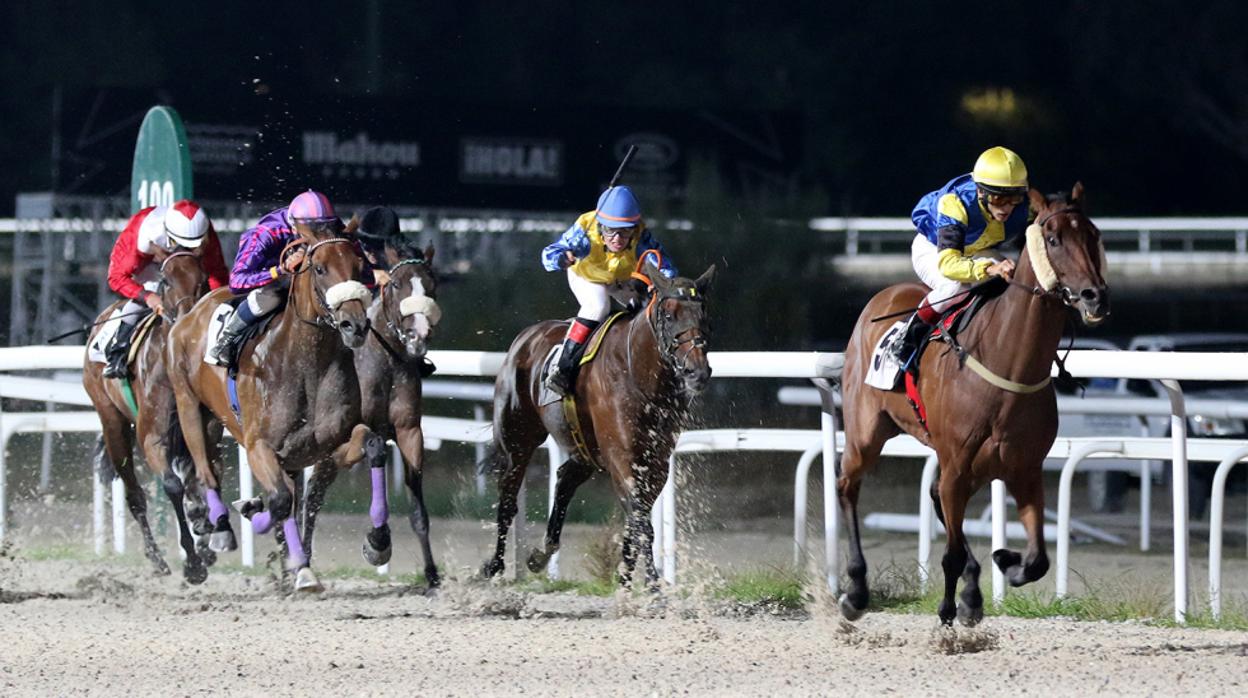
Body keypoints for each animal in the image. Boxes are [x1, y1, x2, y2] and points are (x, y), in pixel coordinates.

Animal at [82, 248, 219, 581]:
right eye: (165, 281)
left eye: (201, 279)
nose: (186, 322)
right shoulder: (153, 437)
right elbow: (172, 485)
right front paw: (192, 561)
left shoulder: (205, 432)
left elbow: (204, 477)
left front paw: (205, 539)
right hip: (113, 423)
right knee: (135, 496)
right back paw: (156, 558)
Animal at [167, 218, 389, 589]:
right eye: (319, 268)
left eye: (361, 267)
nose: (354, 325)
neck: (306, 365)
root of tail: (190, 313)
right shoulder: (259, 446)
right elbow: (282, 499)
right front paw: (297, 563)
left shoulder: (325, 443)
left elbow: (372, 445)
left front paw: (378, 543)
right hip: (191, 409)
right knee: (204, 468)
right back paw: (224, 528)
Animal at [298, 238, 444, 584]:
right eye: (396, 284)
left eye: (431, 285)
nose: (418, 336)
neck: (385, 362)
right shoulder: (345, 441)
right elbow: (374, 451)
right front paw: (377, 543)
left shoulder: (409, 432)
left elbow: (418, 509)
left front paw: (431, 574)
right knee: (312, 495)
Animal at [476, 259, 713, 586]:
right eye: (668, 315)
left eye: (704, 314)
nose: (697, 372)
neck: (638, 373)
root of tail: (526, 337)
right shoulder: (621, 457)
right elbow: (641, 522)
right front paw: (653, 586)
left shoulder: (656, 461)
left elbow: (636, 520)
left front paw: (626, 576)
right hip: (518, 439)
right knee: (509, 498)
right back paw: (495, 566)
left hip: (584, 449)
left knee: (564, 479)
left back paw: (540, 554)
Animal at [843, 183, 1108, 624]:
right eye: (1053, 239)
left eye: (1093, 235)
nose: (1094, 297)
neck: (1008, 363)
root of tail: (881, 298)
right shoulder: (957, 464)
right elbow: (949, 552)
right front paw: (950, 607)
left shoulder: (1025, 469)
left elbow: (1038, 559)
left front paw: (1004, 562)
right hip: (865, 434)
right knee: (847, 486)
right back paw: (855, 590)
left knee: (935, 496)